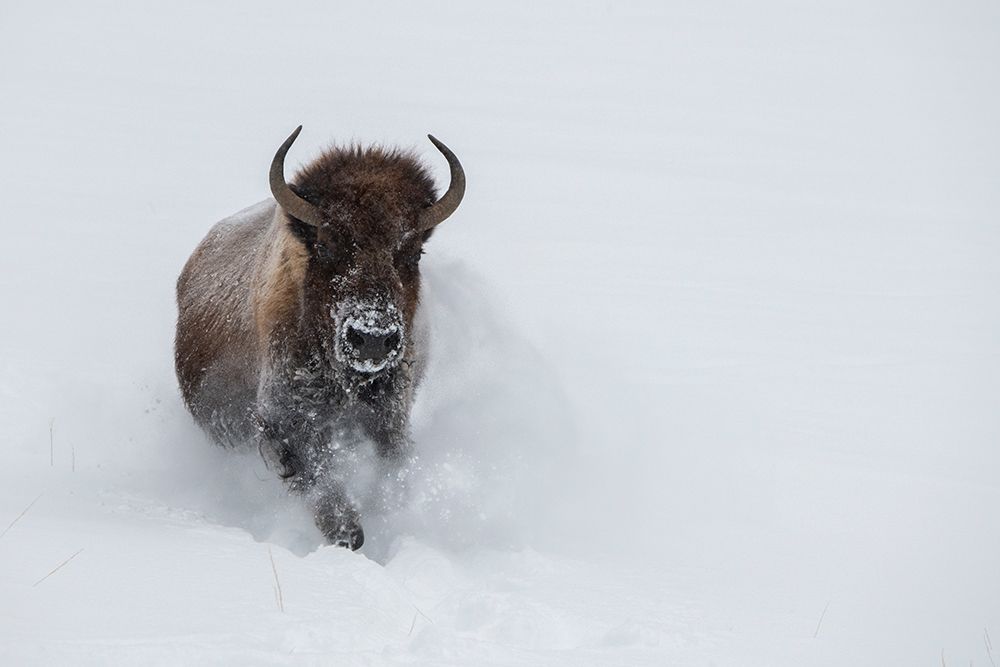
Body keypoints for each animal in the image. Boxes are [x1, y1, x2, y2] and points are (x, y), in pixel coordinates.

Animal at [175, 126, 465, 549]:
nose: (372, 338)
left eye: (413, 253)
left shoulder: (389, 417)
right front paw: (351, 537)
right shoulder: (287, 423)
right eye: (326, 245)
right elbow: (325, 492)